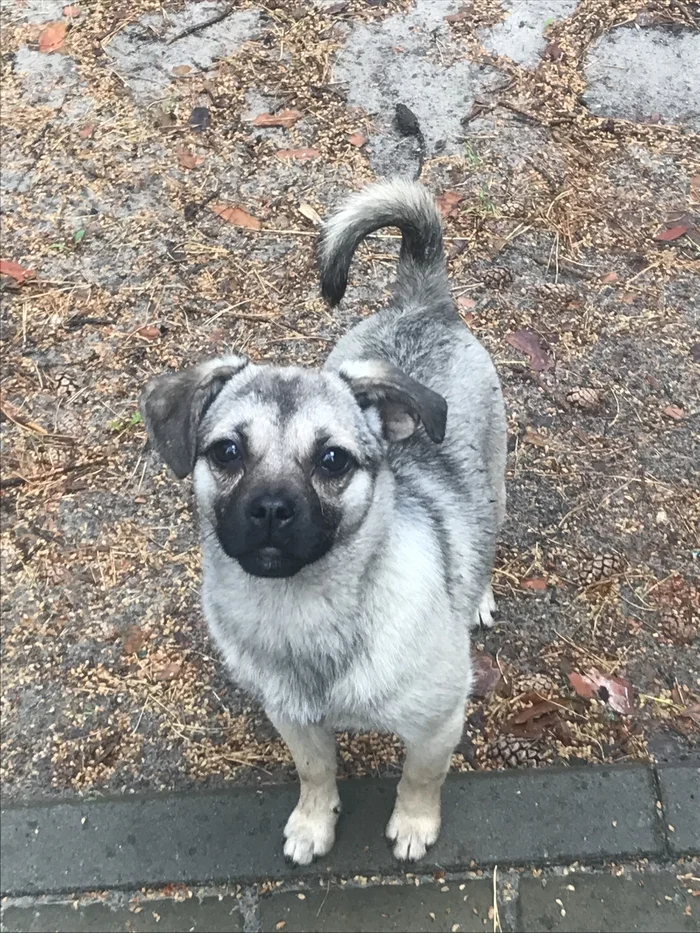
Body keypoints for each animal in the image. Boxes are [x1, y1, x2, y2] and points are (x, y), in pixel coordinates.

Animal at [139, 180, 506, 868]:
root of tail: (422, 304)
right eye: (227, 452)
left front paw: (413, 823)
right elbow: (316, 772)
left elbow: (420, 777)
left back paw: (478, 594)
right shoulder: (294, 720)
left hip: (495, 481)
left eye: (332, 460)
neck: (303, 609)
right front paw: (315, 823)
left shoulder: (438, 722)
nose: (271, 508)